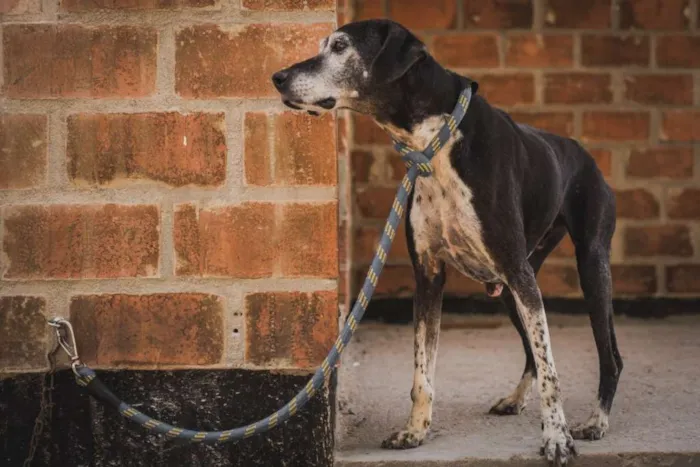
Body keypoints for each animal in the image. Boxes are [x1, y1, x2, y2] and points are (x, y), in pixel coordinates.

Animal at [270, 19, 620, 467]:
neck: (434, 144)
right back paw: (515, 399)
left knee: (608, 356)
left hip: (586, 268)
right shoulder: (429, 276)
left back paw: (596, 420)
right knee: (531, 351)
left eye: (341, 46)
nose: (278, 78)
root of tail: (585, 155)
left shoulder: (517, 273)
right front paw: (415, 431)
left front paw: (556, 438)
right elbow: (423, 371)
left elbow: (552, 372)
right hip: (515, 287)